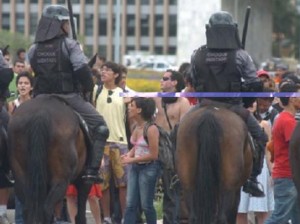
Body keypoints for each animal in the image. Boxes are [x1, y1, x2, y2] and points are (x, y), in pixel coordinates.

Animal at [8, 95, 92, 224]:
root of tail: (41, 113)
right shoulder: (83, 181)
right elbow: (80, 214)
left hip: (22, 180)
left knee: (29, 209)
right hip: (61, 180)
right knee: (47, 209)